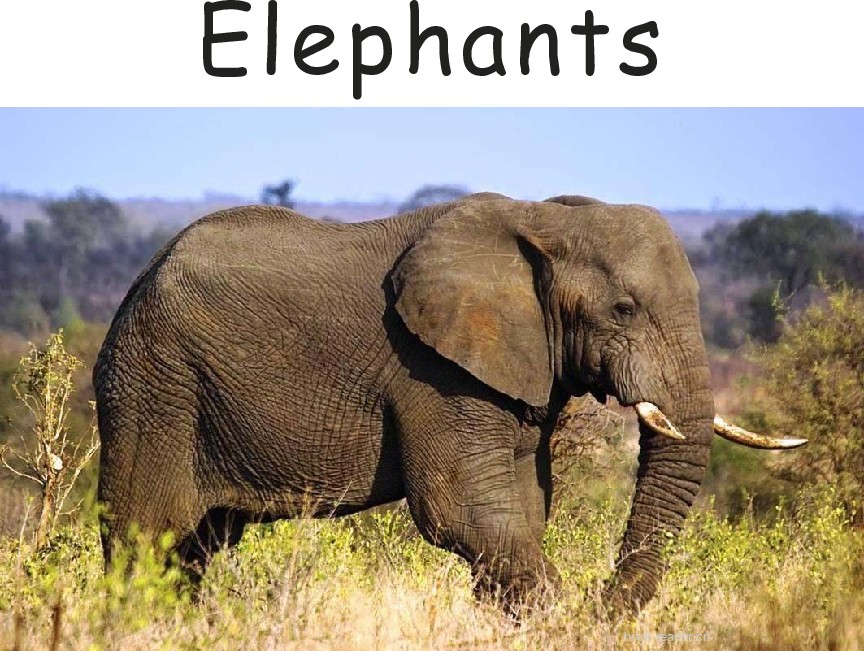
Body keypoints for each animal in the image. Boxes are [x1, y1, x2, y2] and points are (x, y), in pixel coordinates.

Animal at [93, 193, 804, 614]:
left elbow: (523, 511)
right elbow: (467, 512)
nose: (604, 596)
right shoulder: (433, 370)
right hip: (154, 386)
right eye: (624, 310)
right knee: (145, 537)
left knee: (195, 546)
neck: (542, 218)